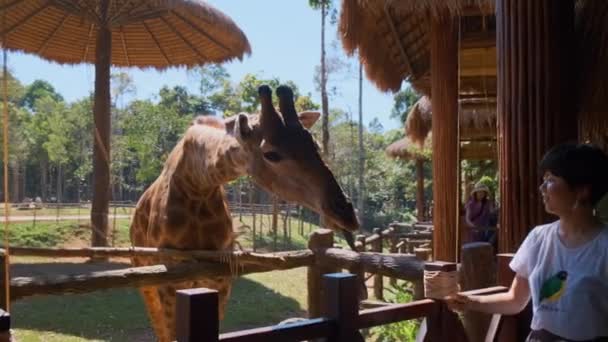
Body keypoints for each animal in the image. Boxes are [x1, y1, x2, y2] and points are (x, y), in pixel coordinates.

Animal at [131, 84, 358, 340]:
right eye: (271, 153)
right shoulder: (169, 280)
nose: (347, 214)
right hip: (146, 277)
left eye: (315, 145)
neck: (197, 185)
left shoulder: (221, 276)